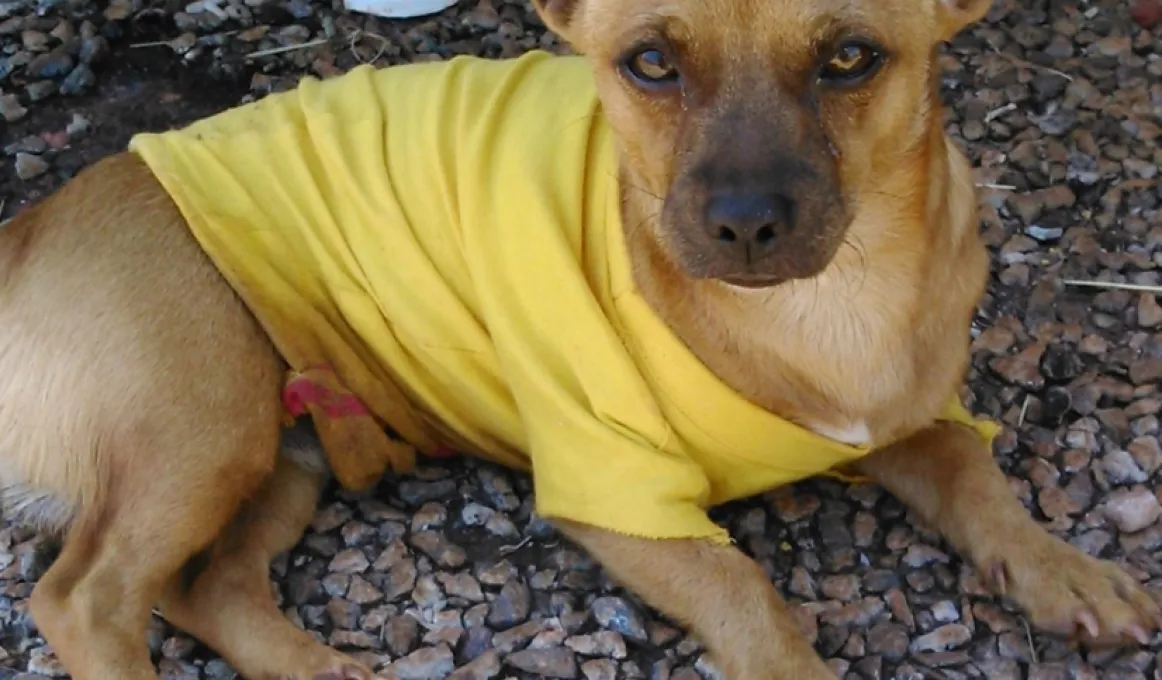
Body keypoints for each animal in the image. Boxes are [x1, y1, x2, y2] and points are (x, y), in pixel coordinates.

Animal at [2, 0, 1162, 674]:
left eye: (849, 57)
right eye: (647, 62)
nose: (744, 222)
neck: (833, 306)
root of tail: (27, 227)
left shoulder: (914, 414)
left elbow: (975, 475)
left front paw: (1063, 569)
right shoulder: (620, 498)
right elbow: (751, 596)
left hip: (283, 452)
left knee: (203, 587)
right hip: (208, 419)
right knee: (85, 596)